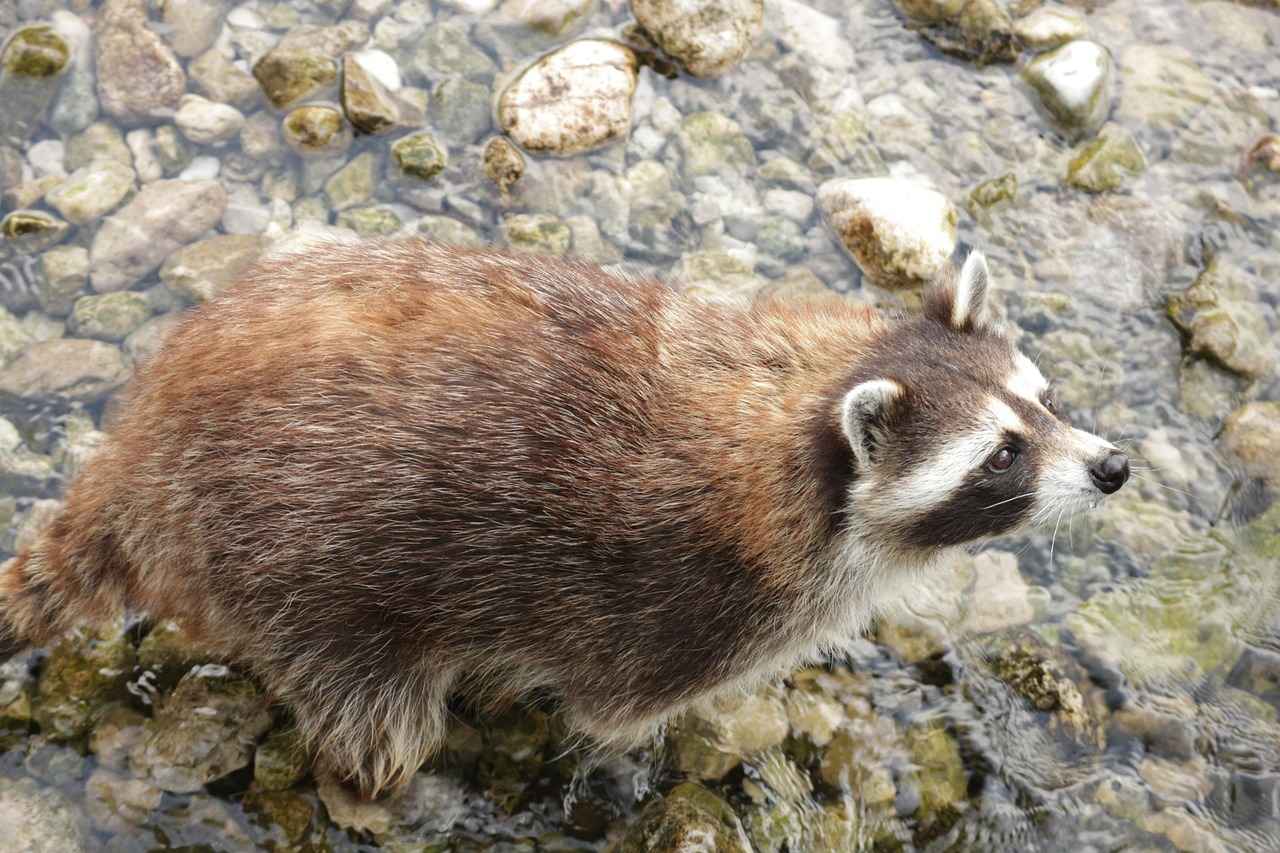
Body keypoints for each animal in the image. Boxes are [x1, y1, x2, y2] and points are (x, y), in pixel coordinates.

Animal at [0, 240, 1128, 797]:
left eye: (1043, 397)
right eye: (1001, 454)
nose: (1113, 466)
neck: (798, 404)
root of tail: (140, 461)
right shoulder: (685, 604)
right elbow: (617, 711)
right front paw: (712, 727)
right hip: (295, 561)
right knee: (369, 701)